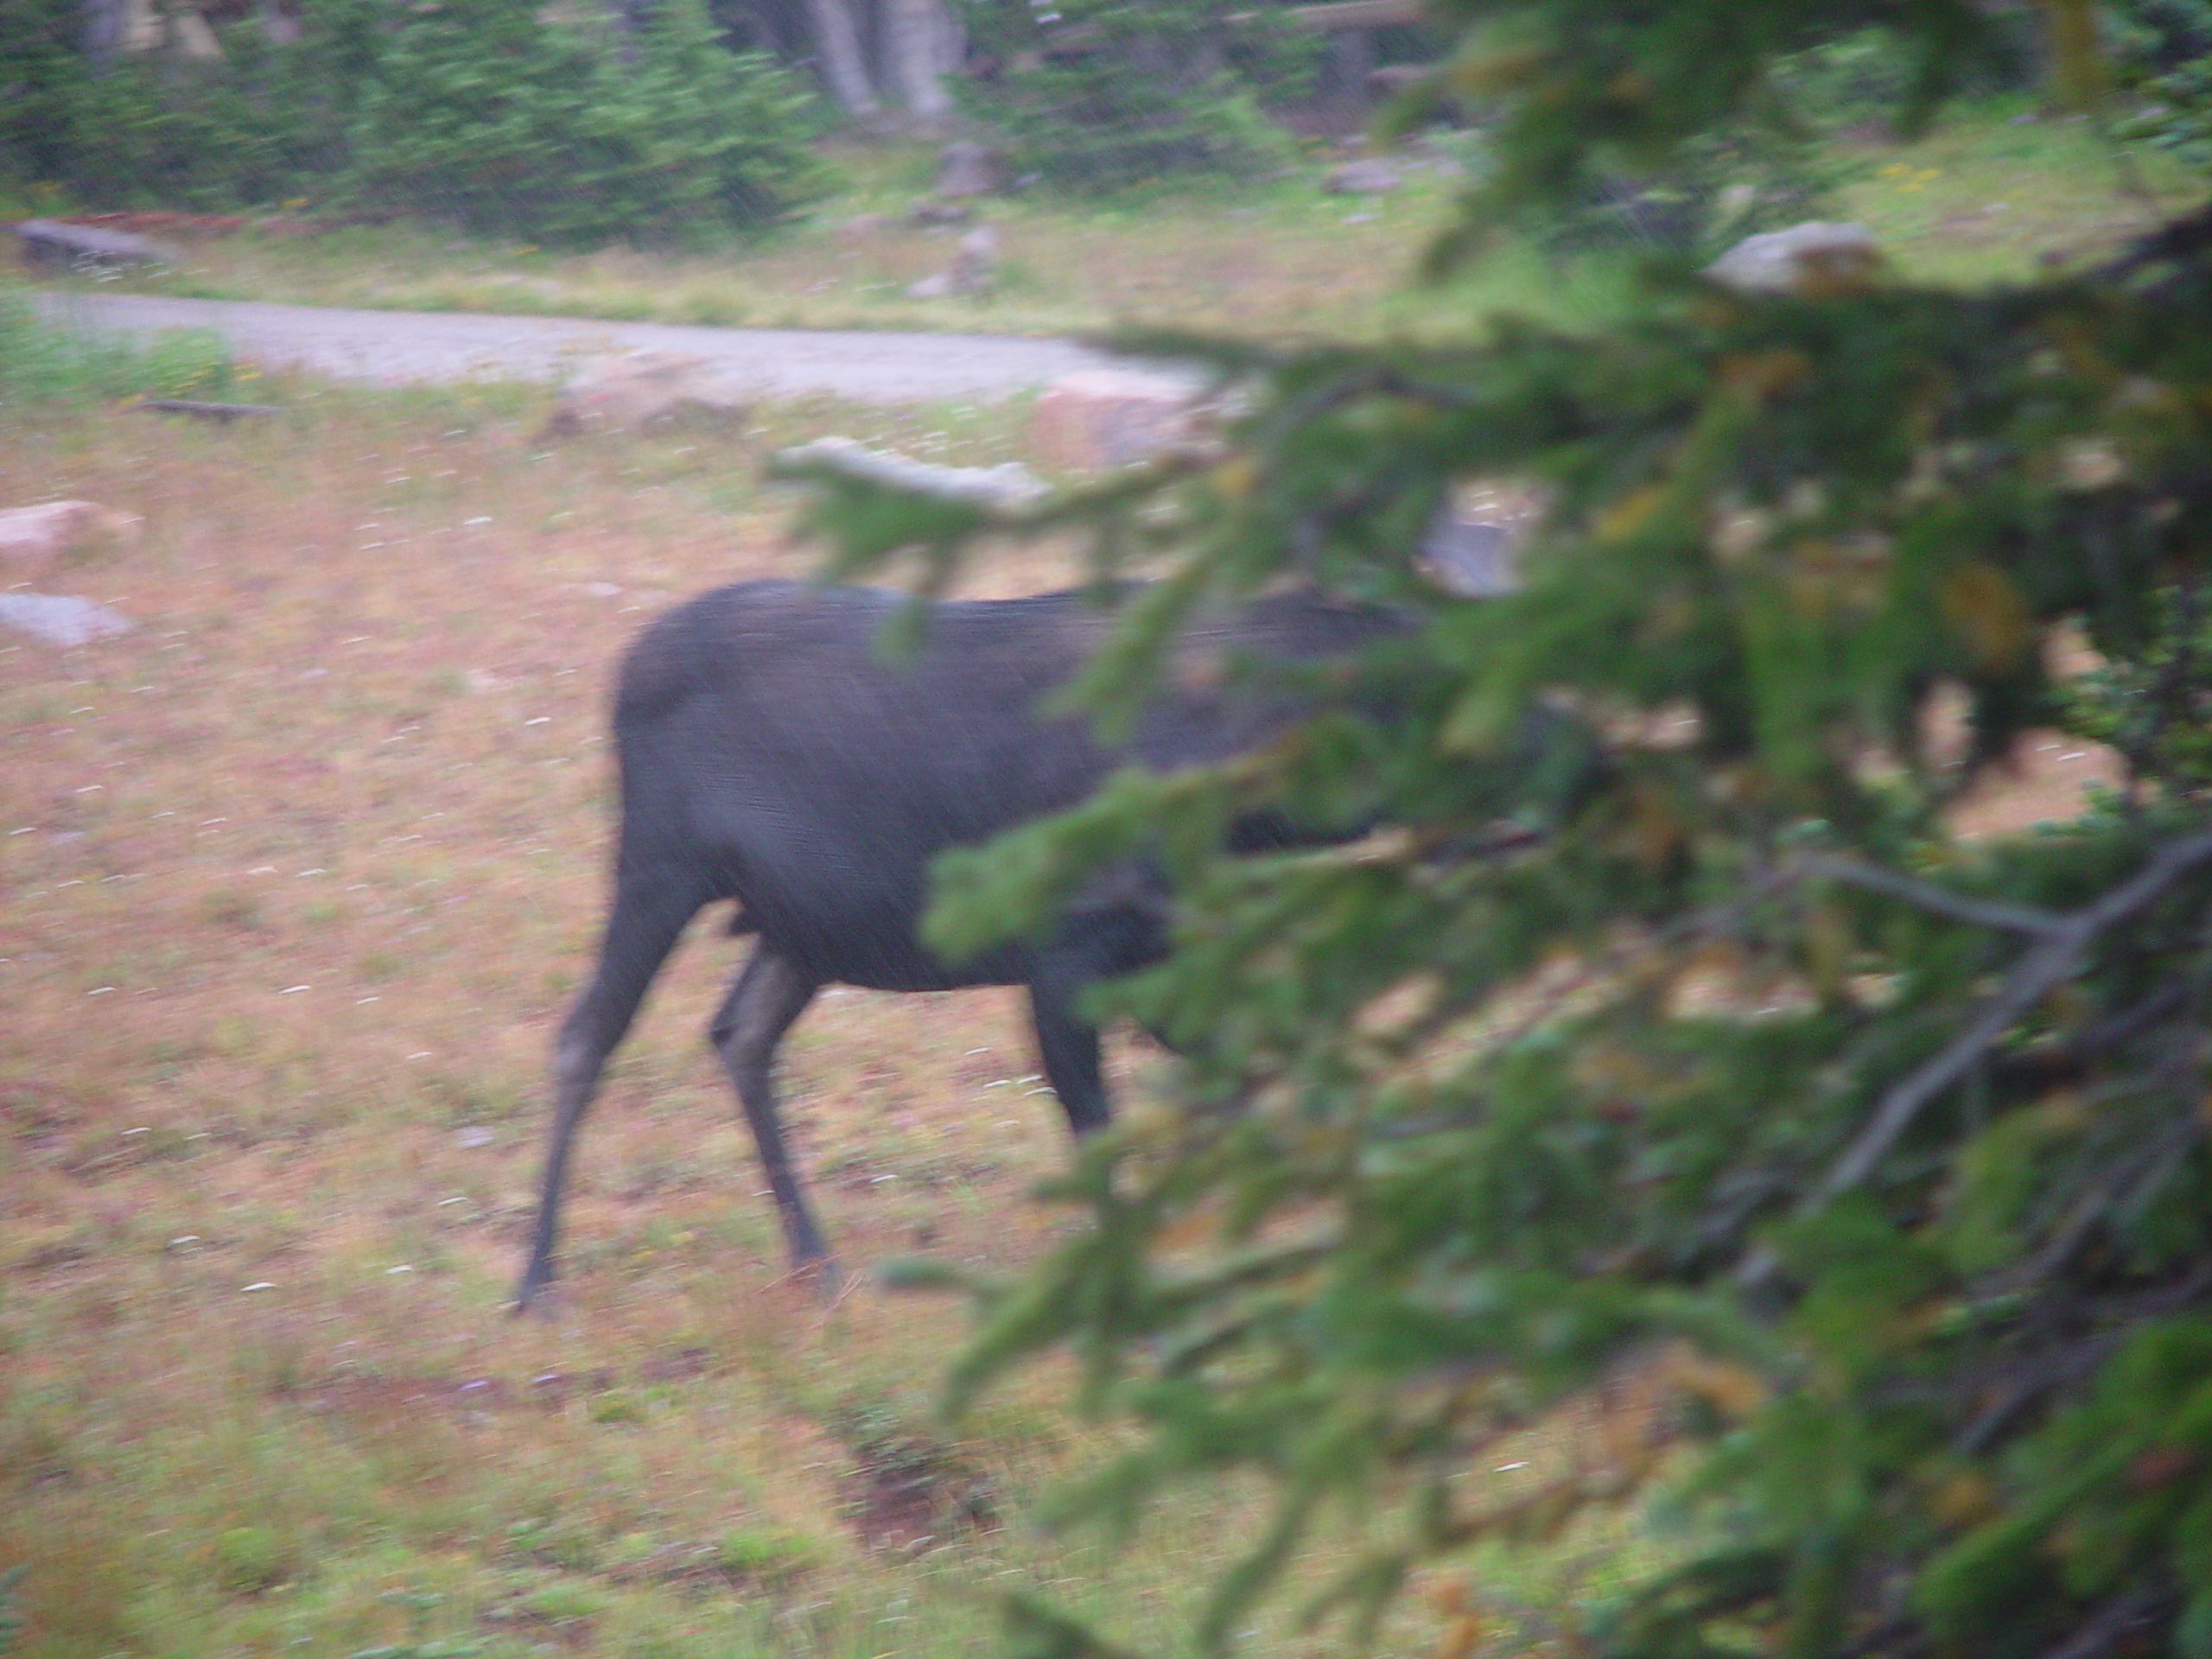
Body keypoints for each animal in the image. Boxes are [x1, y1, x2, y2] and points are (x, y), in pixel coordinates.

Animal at [508, 575, 1389, 1309]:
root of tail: (625, 668)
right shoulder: (1067, 953)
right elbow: (1097, 1126)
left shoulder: (1164, 953)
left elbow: (1246, 1079)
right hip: (660, 867)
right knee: (587, 1036)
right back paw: (537, 1280)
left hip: (800, 928)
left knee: (739, 1033)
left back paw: (814, 1260)